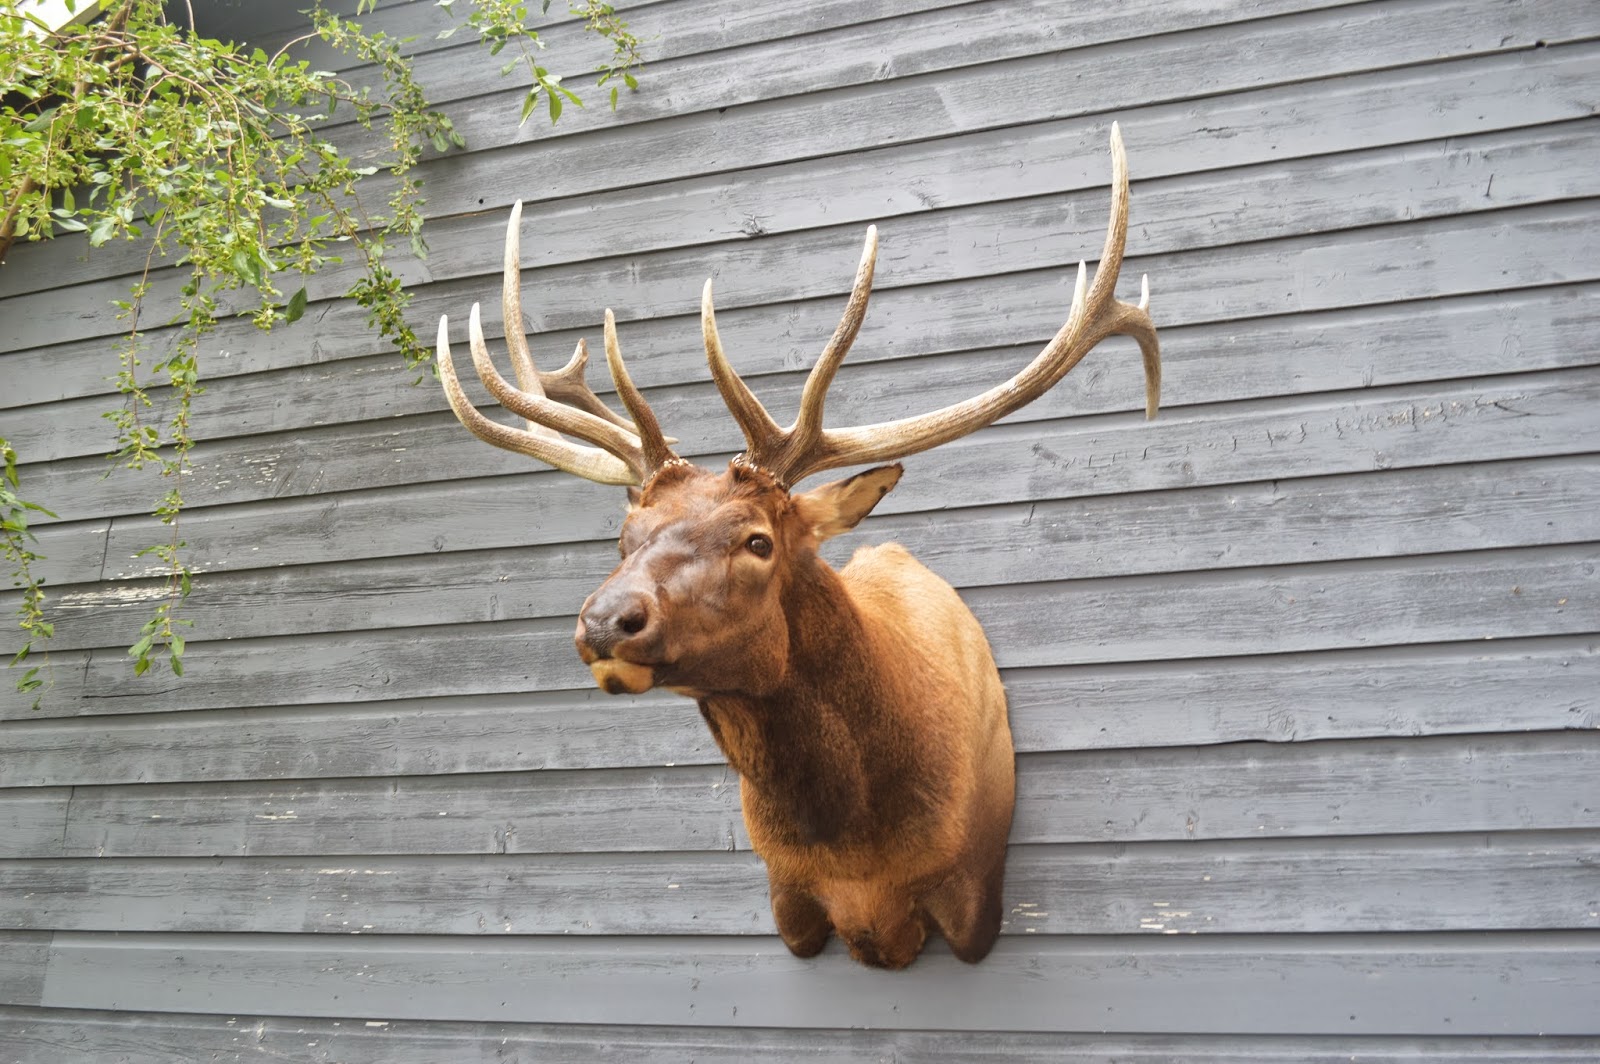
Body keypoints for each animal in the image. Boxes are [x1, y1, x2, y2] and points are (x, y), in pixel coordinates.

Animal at [435, 125, 1160, 969]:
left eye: (757, 540)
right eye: (624, 536)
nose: (607, 621)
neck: (857, 852)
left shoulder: (974, 894)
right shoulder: (788, 898)